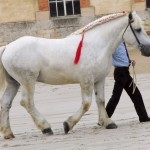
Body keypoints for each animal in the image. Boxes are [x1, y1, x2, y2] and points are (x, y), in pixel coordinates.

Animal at [0, 11, 150, 139]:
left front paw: (107, 122)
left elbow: (100, 100)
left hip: (14, 82)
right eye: (138, 29)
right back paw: (46, 127)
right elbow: (86, 104)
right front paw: (68, 124)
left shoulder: (99, 79)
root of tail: (7, 47)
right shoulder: (86, 80)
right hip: (27, 81)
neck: (96, 45)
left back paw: (8, 133)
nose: (148, 49)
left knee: (6, 103)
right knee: (27, 102)